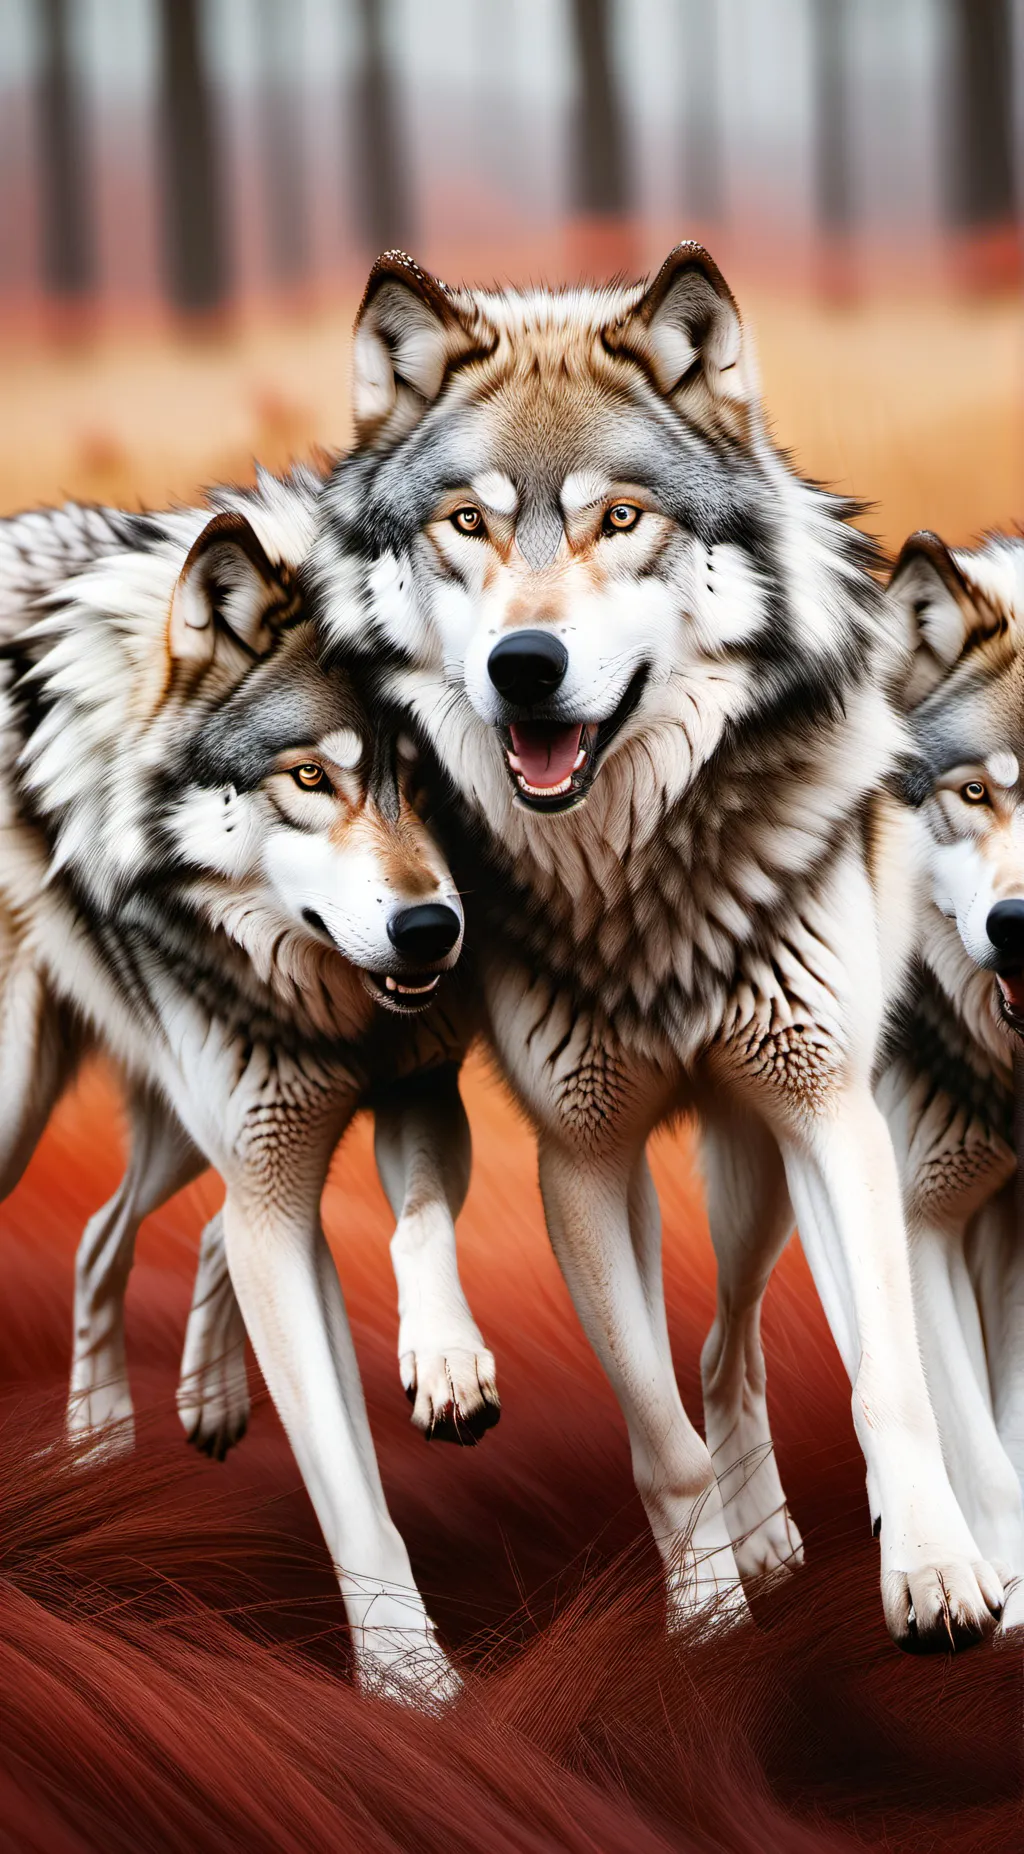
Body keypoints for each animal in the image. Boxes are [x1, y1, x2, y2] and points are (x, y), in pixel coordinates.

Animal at [0, 469, 499, 1698]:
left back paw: (136, 1422)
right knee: (141, 1231)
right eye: (311, 778)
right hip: (36, 1105)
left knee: (111, 1235)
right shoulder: (271, 1167)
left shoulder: (416, 1092)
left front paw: (445, 1359)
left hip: (190, 1127)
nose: (432, 929)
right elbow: (345, 1477)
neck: (329, 1011)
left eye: (433, 783)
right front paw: (412, 1685)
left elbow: (419, 1224)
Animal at [311, 242, 1004, 1648]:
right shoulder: (578, 1160)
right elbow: (657, 1434)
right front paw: (707, 1627)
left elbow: (888, 1382)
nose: (525, 665)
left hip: (758, 1176)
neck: (636, 874)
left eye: (621, 520)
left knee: (733, 1346)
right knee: (694, 1365)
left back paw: (795, 1533)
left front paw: (937, 1576)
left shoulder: (828, 1112)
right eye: (466, 524)